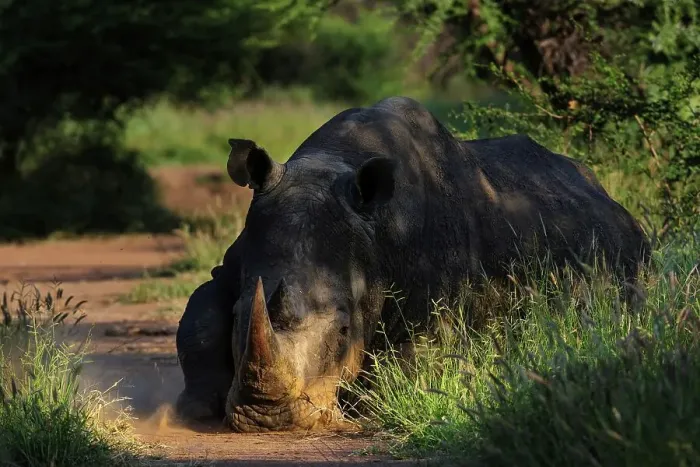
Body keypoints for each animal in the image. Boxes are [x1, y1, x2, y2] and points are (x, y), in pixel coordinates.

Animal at [174, 96, 650, 432]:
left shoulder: (442, 297)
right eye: (240, 314)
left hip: (629, 251)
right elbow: (200, 321)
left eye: (345, 330)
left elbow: (416, 355)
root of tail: (605, 191)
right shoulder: (235, 263)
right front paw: (194, 408)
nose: (269, 420)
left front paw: (362, 407)